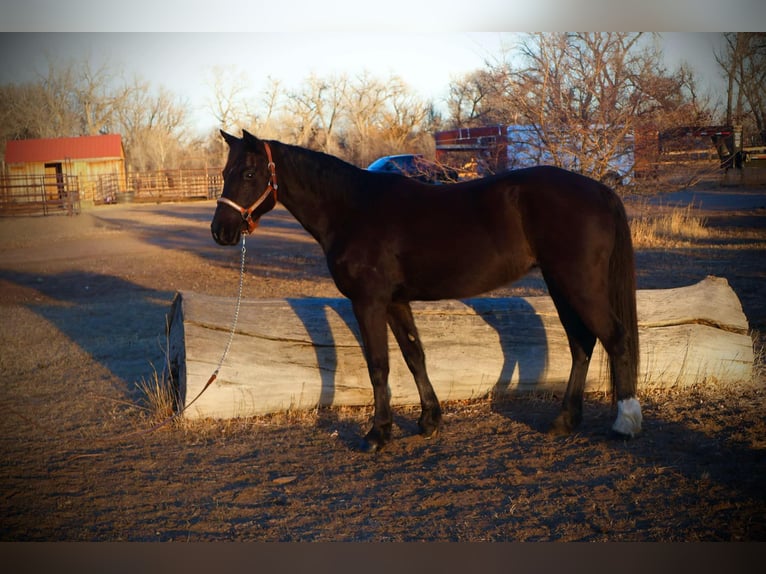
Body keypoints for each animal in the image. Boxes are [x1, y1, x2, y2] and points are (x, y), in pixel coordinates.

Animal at [208, 132, 640, 454]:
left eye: (249, 173)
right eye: (226, 172)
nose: (221, 231)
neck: (353, 209)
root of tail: (600, 190)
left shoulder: (369, 302)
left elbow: (379, 365)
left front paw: (378, 435)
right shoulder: (396, 301)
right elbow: (415, 356)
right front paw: (429, 421)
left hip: (578, 283)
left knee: (614, 338)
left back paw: (625, 423)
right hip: (560, 284)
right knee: (582, 343)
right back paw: (564, 421)